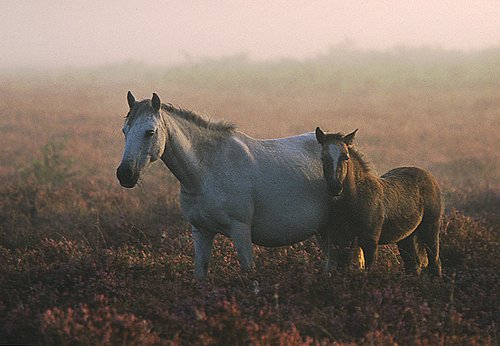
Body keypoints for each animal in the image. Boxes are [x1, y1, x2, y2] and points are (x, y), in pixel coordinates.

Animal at [116, 92, 336, 278]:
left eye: (149, 132)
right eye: (124, 131)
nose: (125, 174)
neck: (206, 174)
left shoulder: (241, 231)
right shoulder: (201, 232)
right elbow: (200, 275)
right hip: (323, 231)